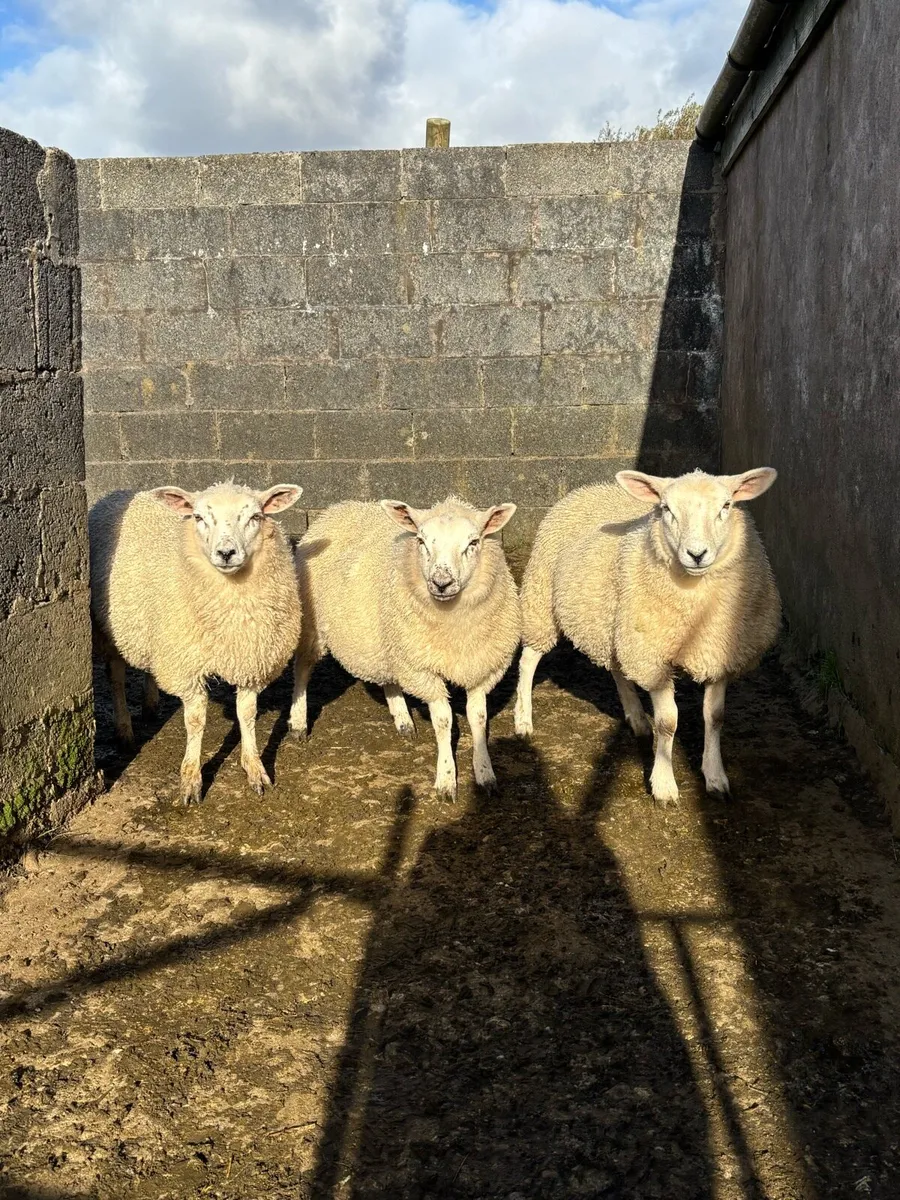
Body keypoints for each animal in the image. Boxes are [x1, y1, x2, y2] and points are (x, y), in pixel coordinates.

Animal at [89, 481, 304, 804]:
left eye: (255, 516)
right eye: (199, 517)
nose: (226, 553)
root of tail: (123, 493)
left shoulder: (250, 659)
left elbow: (247, 715)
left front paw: (254, 769)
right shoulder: (188, 666)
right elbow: (196, 721)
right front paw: (191, 779)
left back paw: (151, 704)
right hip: (111, 628)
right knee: (115, 677)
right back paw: (124, 730)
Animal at [289, 496, 520, 799]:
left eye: (473, 542)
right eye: (421, 541)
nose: (441, 583)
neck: (455, 627)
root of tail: (340, 507)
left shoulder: (483, 667)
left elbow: (478, 719)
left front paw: (485, 773)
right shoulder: (422, 670)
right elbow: (444, 721)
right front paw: (446, 779)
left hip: (389, 639)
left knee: (389, 676)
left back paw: (402, 719)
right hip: (313, 625)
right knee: (302, 669)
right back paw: (298, 721)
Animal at [515, 467, 780, 805]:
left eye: (727, 506)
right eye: (666, 509)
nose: (696, 554)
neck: (696, 604)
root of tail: (587, 489)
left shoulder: (720, 654)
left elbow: (715, 717)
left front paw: (715, 776)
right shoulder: (653, 657)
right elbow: (668, 723)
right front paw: (664, 784)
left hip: (616, 624)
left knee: (617, 668)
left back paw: (637, 718)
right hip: (543, 599)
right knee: (529, 659)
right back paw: (523, 719)